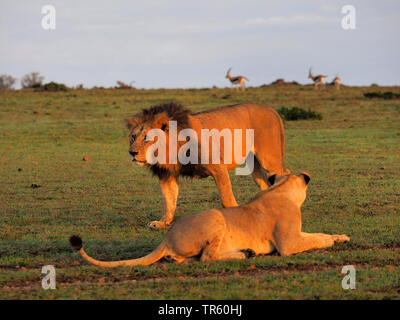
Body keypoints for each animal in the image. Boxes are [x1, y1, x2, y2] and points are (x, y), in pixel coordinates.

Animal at [69, 172, 350, 268]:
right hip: (215, 216)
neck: (280, 188)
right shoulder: (288, 244)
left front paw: (342, 236)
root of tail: (166, 237)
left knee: (190, 258)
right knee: (207, 257)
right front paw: (332, 242)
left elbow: (318, 234)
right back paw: (244, 254)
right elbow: (315, 240)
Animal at [124, 102, 288, 228]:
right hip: (253, 163)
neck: (169, 151)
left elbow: (226, 198)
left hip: (269, 158)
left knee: (283, 174)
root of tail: (271, 109)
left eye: (147, 138)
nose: (132, 152)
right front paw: (162, 222)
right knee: (264, 183)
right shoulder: (167, 174)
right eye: (133, 136)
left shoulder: (218, 166)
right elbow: (169, 200)